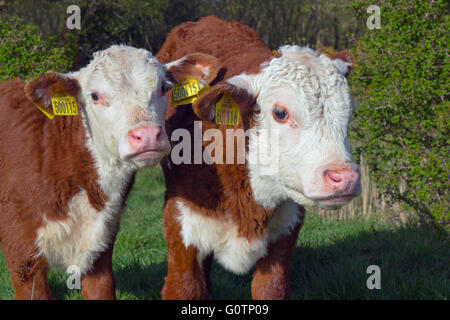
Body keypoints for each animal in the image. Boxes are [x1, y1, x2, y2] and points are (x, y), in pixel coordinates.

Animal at [0, 45, 199, 300]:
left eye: (164, 87)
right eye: (95, 96)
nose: (147, 135)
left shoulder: (102, 243)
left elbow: (101, 289)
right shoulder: (22, 252)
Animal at [156, 15, 360, 300]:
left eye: (350, 112)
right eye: (280, 113)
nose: (345, 177)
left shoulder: (286, 228)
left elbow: (271, 288)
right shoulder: (181, 222)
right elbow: (186, 287)